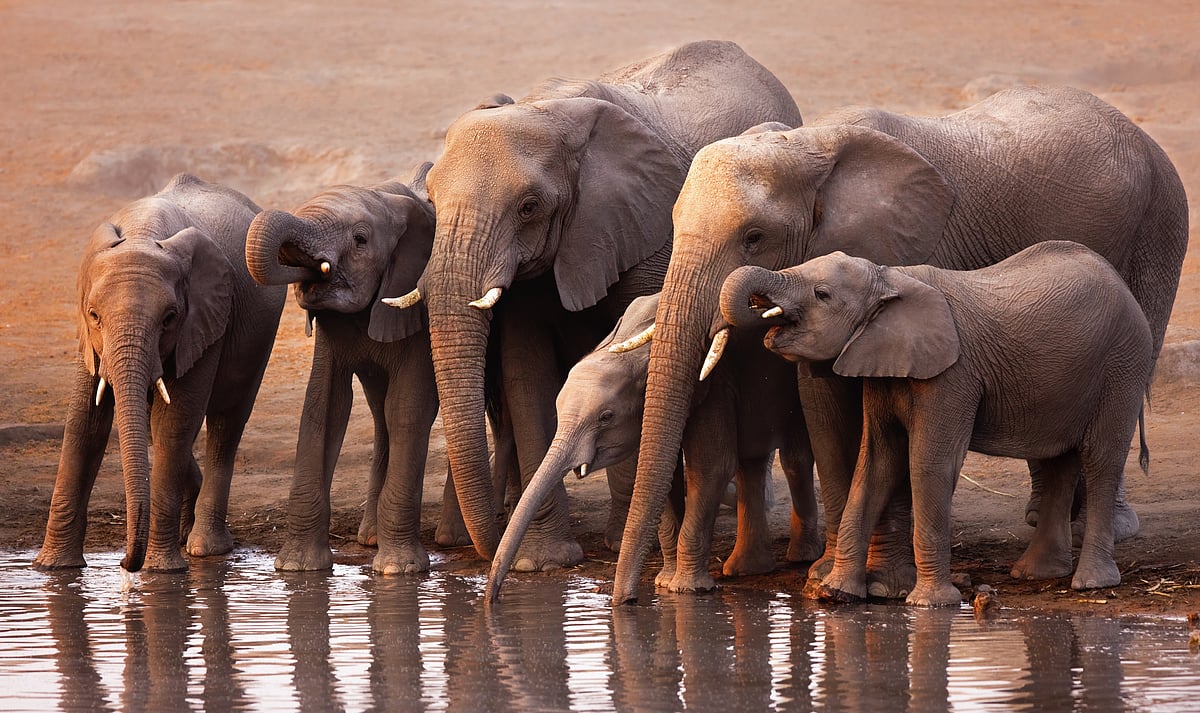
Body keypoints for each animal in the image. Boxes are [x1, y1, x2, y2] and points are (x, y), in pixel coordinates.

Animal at [33, 173, 286, 573]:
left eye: (169, 318)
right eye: (93, 315)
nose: (125, 564)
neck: (142, 231)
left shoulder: (205, 320)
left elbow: (174, 423)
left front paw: (162, 572)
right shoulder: (89, 341)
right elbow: (84, 422)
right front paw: (53, 569)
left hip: (258, 336)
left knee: (226, 424)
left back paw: (204, 547)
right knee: (152, 420)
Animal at [243, 163, 457, 574]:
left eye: (360, 239)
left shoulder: (417, 311)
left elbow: (408, 407)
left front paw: (399, 570)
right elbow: (323, 405)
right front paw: (297, 568)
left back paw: (456, 537)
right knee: (380, 412)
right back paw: (370, 538)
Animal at [384, 40, 804, 570]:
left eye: (529, 207)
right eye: (433, 200)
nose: (484, 552)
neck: (545, 111)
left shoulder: (644, 232)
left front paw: (619, 544)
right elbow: (526, 376)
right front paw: (544, 562)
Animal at [485, 293, 820, 602]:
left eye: (606, 417)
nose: (492, 598)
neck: (634, 348)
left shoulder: (713, 383)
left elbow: (711, 465)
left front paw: (685, 589)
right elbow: (665, 471)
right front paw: (665, 582)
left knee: (794, 455)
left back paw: (800, 556)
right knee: (754, 460)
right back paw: (746, 569)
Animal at [717, 241, 1154, 605]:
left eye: (821, 295)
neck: (889, 278)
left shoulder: (952, 374)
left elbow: (929, 464)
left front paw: (929, 605)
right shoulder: (884, 365)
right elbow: (875, 463)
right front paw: (835, 594)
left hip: (1123, 364)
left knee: (1100, 459)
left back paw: (1091, 584)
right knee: (1058, 460)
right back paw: (1035, 574)